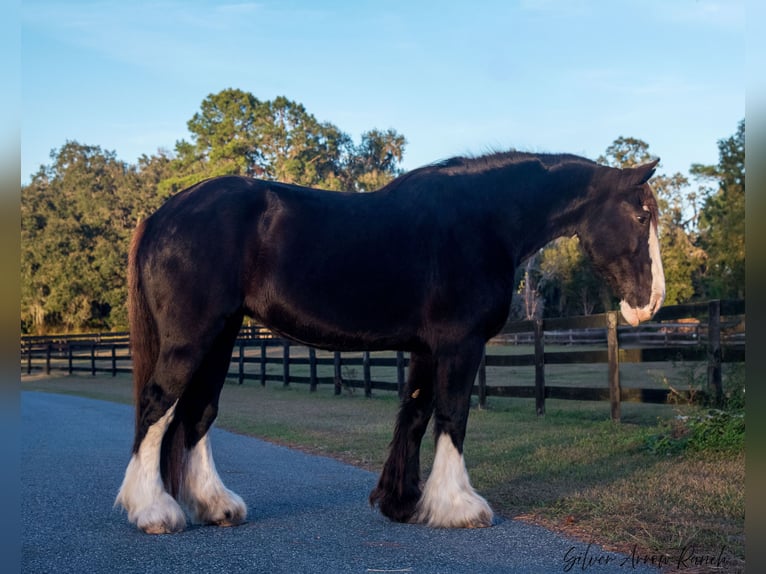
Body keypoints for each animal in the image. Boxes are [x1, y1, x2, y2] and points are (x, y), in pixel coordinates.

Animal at [115, 150, 664, 536]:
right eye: (641, 217)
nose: (651, 302)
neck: (483, 219)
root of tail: (162, 214)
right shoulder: (460, 345)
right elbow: (452, 416)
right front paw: (459, 507)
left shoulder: (426, 348)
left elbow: (415, 413)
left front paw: (402, 503)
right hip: (192, 337)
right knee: (158, 405)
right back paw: (153, 512)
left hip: (222, 335)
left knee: (197, 414)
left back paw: (216, 506)